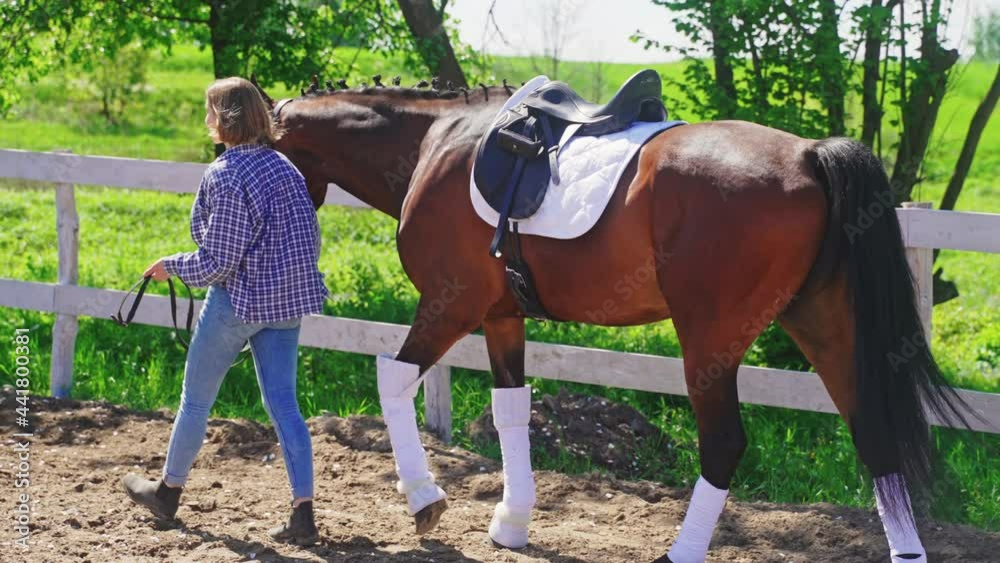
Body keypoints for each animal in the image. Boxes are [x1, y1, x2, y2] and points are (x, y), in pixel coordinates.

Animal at [253, 74, 972, 562]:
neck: (434, 143)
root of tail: (808, 155)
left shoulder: (449, 302)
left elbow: (392, 380)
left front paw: (425, 499)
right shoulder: (501, 314)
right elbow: (510, 408)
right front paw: (511, 523)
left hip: (710, 339)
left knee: (725, 443)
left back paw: (680, 552)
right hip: (823, 323)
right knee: (872, 430)